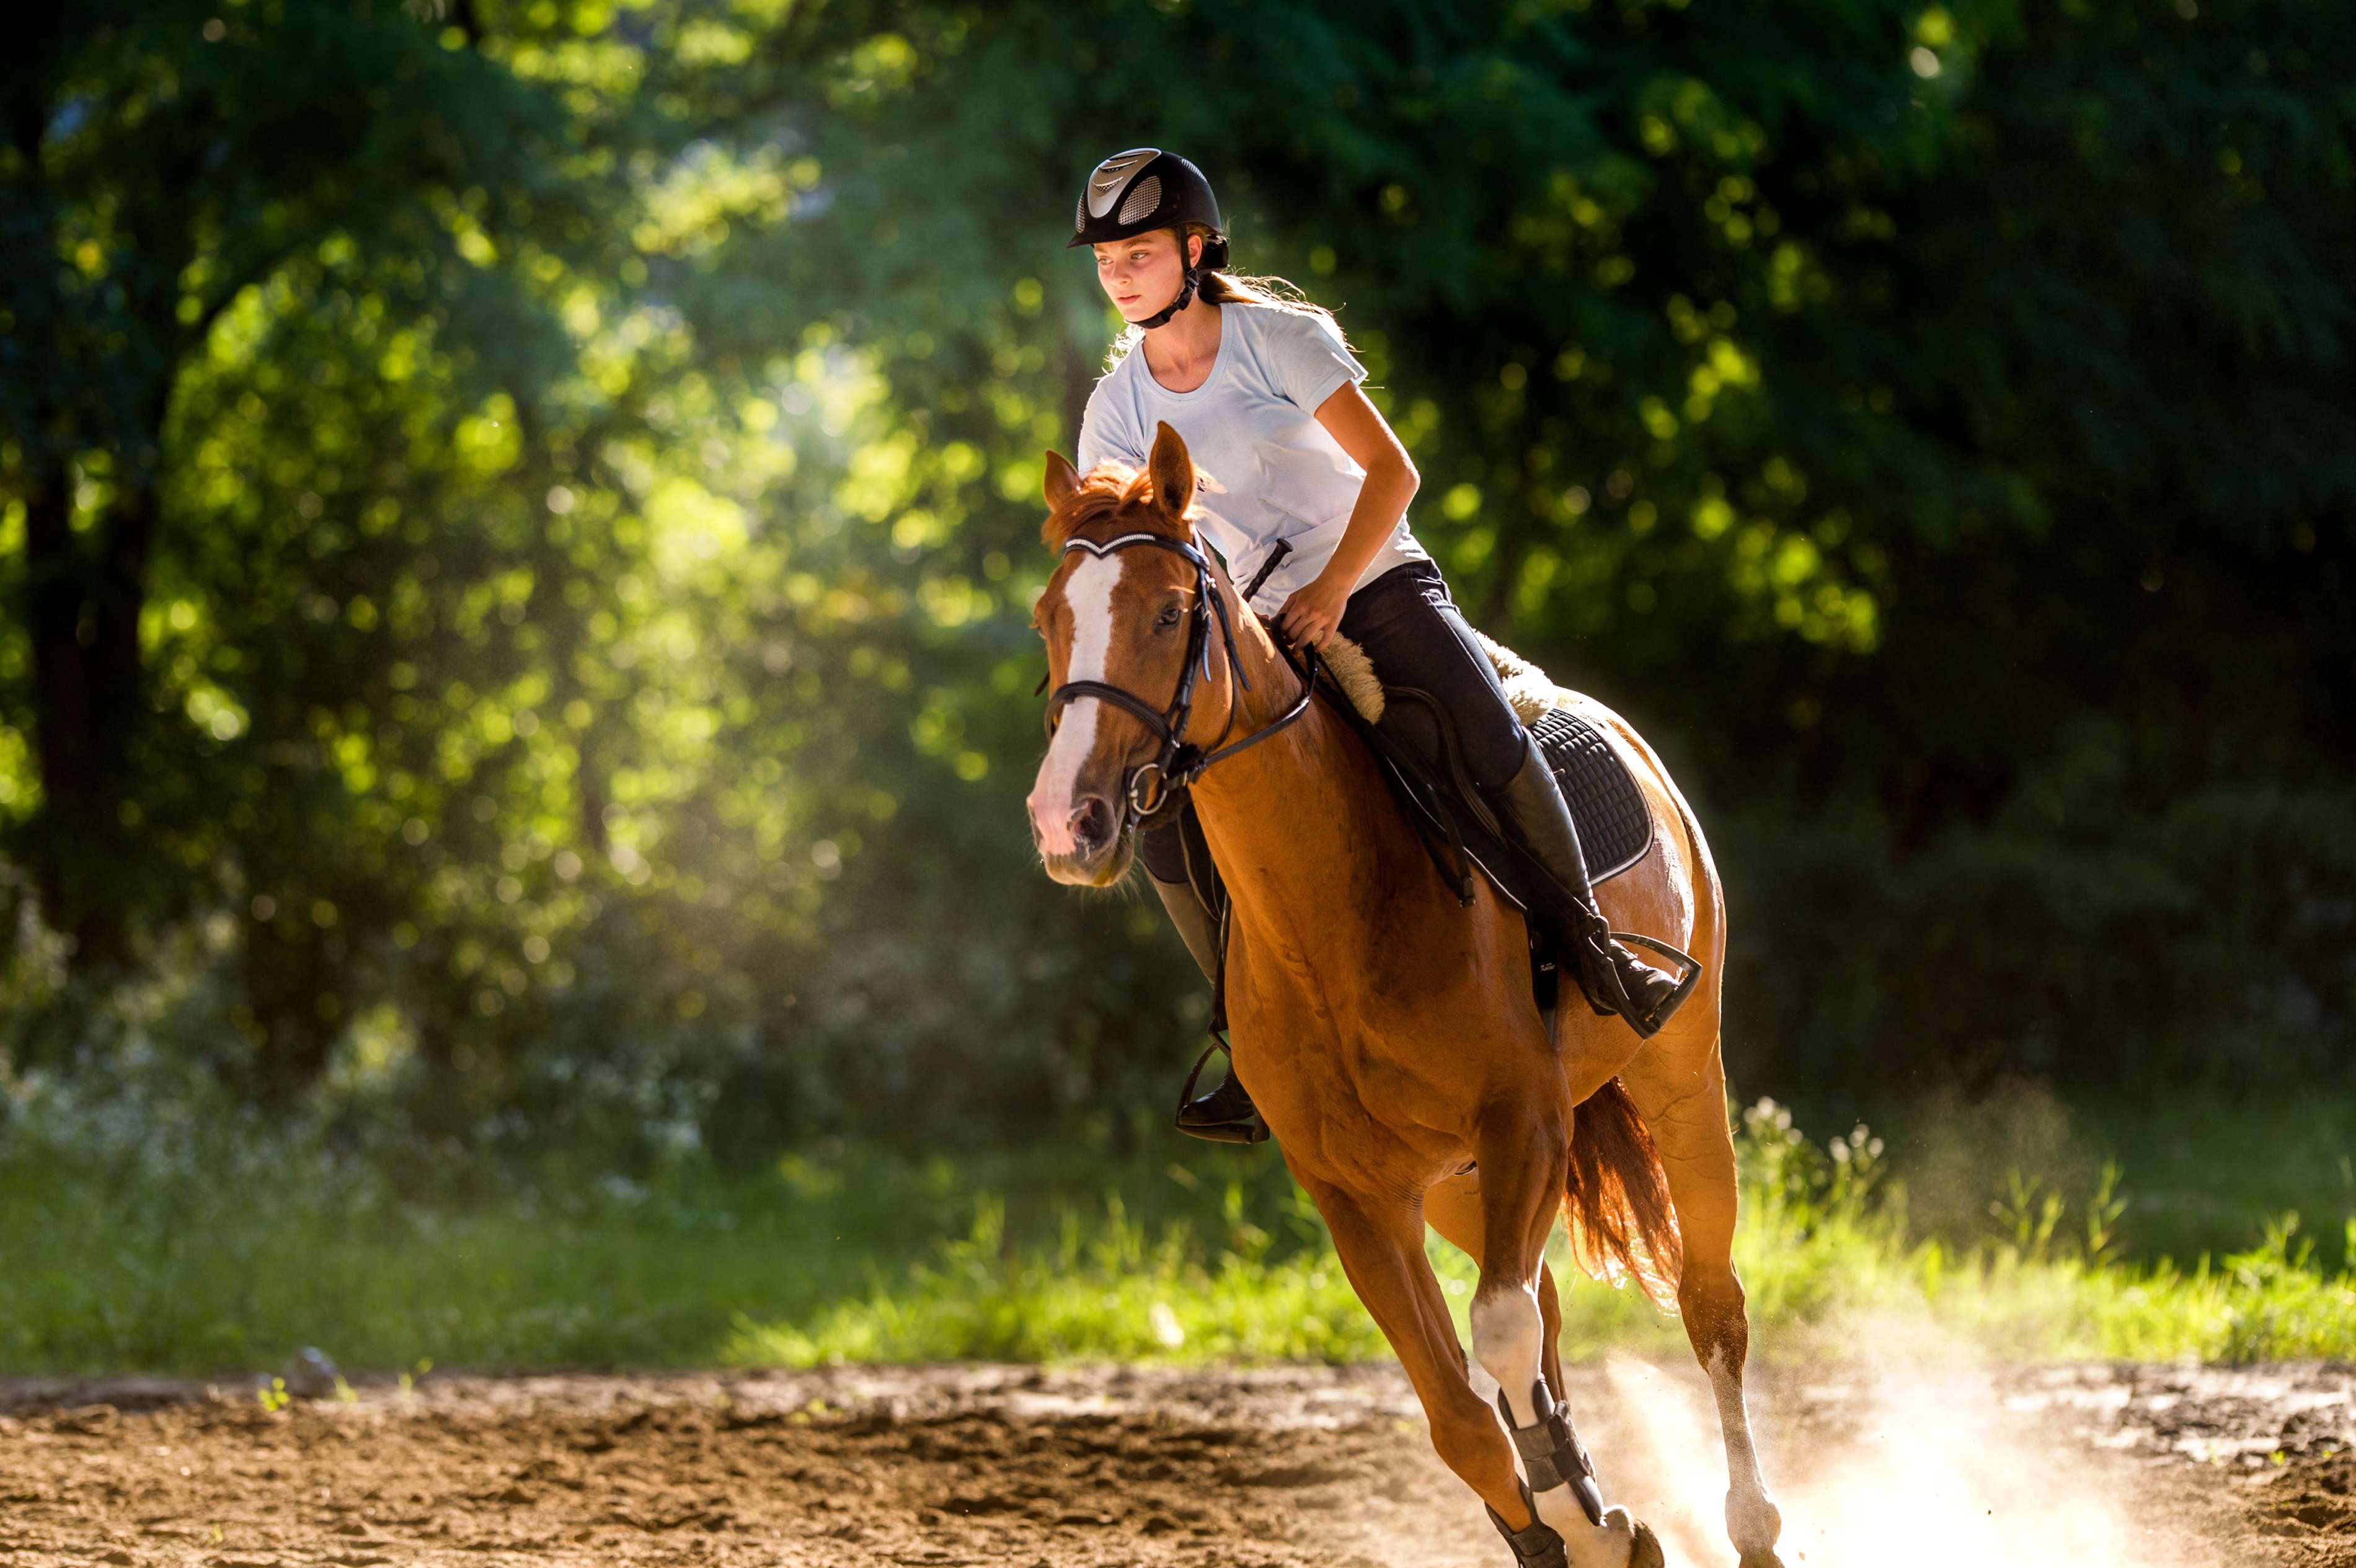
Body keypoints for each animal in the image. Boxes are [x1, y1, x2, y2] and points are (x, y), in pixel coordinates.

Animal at [1023, 421, 1784, 1568]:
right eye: (1049, 620)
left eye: (1164, 613)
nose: (1069, 821)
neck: (1329, 923)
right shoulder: (1355, 1194)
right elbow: (1462, 1414)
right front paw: (1577, 1527)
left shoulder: (1525, 1121)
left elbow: (1500, 1337)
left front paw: (1585, 1517)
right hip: (1463, 1180)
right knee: (1544, 1309)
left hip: (1679, 1080)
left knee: (1708, 1303)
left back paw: (1750, 1523)